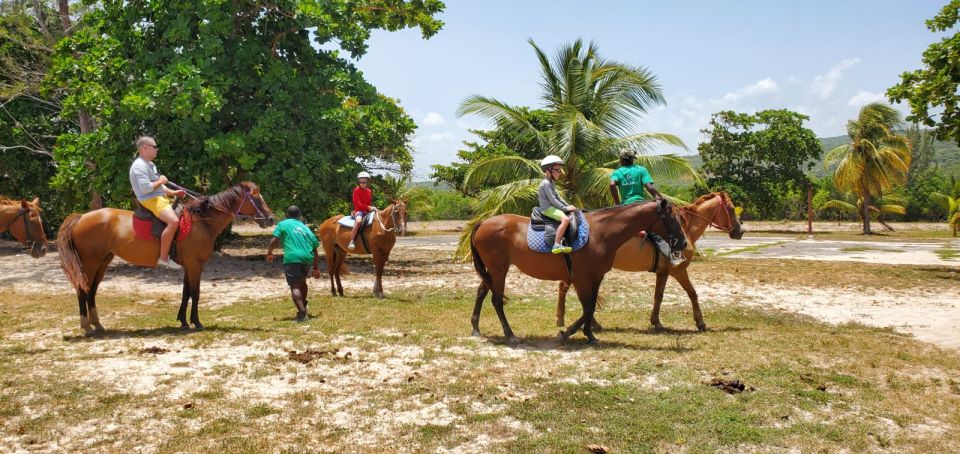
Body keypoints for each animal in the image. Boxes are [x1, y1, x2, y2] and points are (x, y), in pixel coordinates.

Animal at [56, 181, 274, 334]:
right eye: (255, 196)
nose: (271, 218)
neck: (201, 222)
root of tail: (81, 218)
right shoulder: (195, 265)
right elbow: (195, 293)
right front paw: (196, 322)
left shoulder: (188, 266)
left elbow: (186, 293)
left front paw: (183, 321)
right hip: (90, 264)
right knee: (83, 291)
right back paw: (87, 327)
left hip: (102, 263)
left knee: (91, 292)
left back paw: (97, 325)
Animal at [468, 199, 688, 344]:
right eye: (670, 218)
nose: (684, 243)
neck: (601, 232)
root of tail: (483, 223)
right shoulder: (582, 279)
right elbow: (588, 308)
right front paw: (567, 333)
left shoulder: (596, 277)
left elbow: (590, 307)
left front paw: (588, 335)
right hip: (499, 270)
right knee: (496, 300)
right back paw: (509, 334)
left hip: (492, 271)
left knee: (481, 292)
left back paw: (476, 328)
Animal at [552, 191, 748, 330]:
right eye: (731, 209)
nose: (740, 231)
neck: (685, 229)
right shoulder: (678, 270)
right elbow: (692, 293)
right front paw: (700, 322)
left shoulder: (663, 272)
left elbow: (658, 296)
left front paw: (656, 322)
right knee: (567, 289)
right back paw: (571, 320)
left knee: (568, 289)